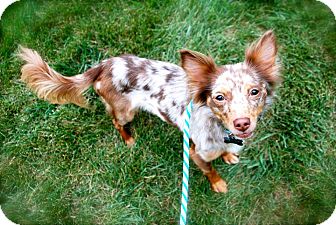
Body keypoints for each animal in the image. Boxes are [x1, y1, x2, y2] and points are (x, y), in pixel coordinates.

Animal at [18, 30, 280, 193]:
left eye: (254, 92)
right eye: (219, 97)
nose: (242, 123)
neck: (218, 127)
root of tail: (103, 65)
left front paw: (227, 155)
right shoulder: (194, 153)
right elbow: (210, 169)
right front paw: (218, 184)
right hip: (126, 112)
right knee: (116, 121)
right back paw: (128, 139)